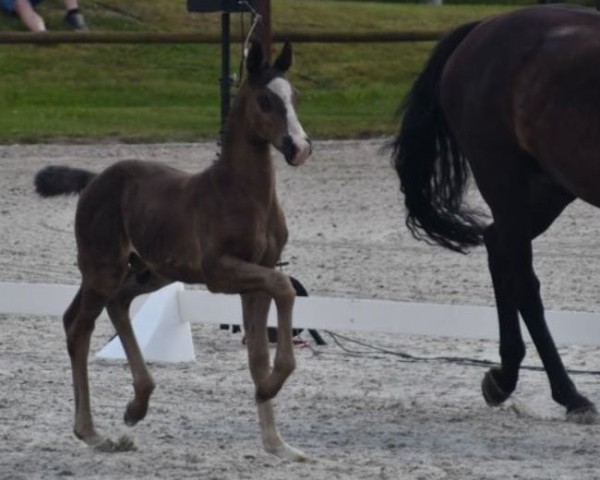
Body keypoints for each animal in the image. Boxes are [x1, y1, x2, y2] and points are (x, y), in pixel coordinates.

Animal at [34, 42, 312, 462]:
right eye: (266, 100)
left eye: (294, 96)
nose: (299, 148)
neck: (241, 194)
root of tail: (94, 180)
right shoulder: (220, 272)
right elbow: (284, 286)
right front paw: (267, 389)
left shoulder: (255, 278)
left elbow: (257, 353)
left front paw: (276, 442)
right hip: (103, 268)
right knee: (79, 325)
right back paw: (93, 434)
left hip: (148, 271)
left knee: (112, 305)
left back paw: (136, 407)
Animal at [394, 5, 600, 422]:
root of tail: (485, 26)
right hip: (504, 181)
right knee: (524, 283)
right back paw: (567, 394)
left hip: (549, 189)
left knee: (496, 247)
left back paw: (505, 376)